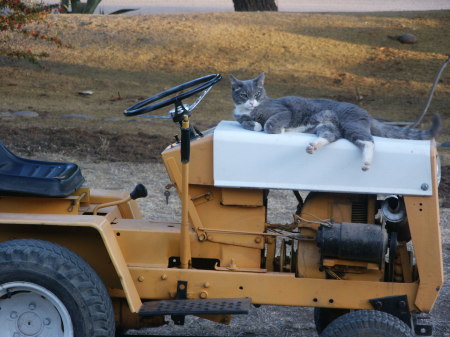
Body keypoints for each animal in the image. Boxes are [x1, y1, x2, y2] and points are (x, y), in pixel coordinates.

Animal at [230, 72, 442, 169]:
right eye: (243, 95)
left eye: (258, 93)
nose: (251, 102)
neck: (252, 110)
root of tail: (366, 112)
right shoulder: (239, 117)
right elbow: (246, 123)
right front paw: (253, 124)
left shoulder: (282, 111)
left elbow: (270, 123)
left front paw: (274, 128)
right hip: (326, 124)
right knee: (333, 135)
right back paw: (313, 146)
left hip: (350, 122)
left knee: (368, 141)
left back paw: (366, 162)